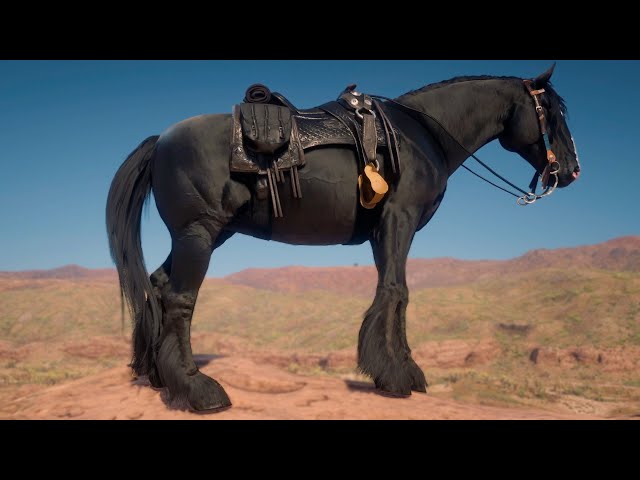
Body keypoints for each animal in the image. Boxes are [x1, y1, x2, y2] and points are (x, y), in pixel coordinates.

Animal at [106, 65, 581, 412]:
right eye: (551, 112)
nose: (572, 170)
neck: (420, 135)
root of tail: (160, 141)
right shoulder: (398, 218)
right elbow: (396, 290)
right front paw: (395, 375)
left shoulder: (383, 230)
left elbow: (396, 292)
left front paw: (405, 370)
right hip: (199, 234)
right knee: (179, 299)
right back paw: (197, 389)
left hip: (204, 235)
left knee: (158, 286)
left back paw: (157, 376)